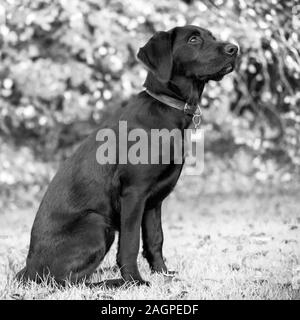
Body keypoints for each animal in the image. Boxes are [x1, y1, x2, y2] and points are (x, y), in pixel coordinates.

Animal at [16, 25, 238, 288]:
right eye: (193, 39)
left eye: (212, 36)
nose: (234, 49)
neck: (167, 109)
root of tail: (28, 269)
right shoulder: (134, 193)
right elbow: (131, 243)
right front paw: (135, 281)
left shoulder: (153, 200)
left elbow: (155, 239)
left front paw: (163, 273)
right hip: (96, 223)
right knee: (65, 281)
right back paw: (113, 282)